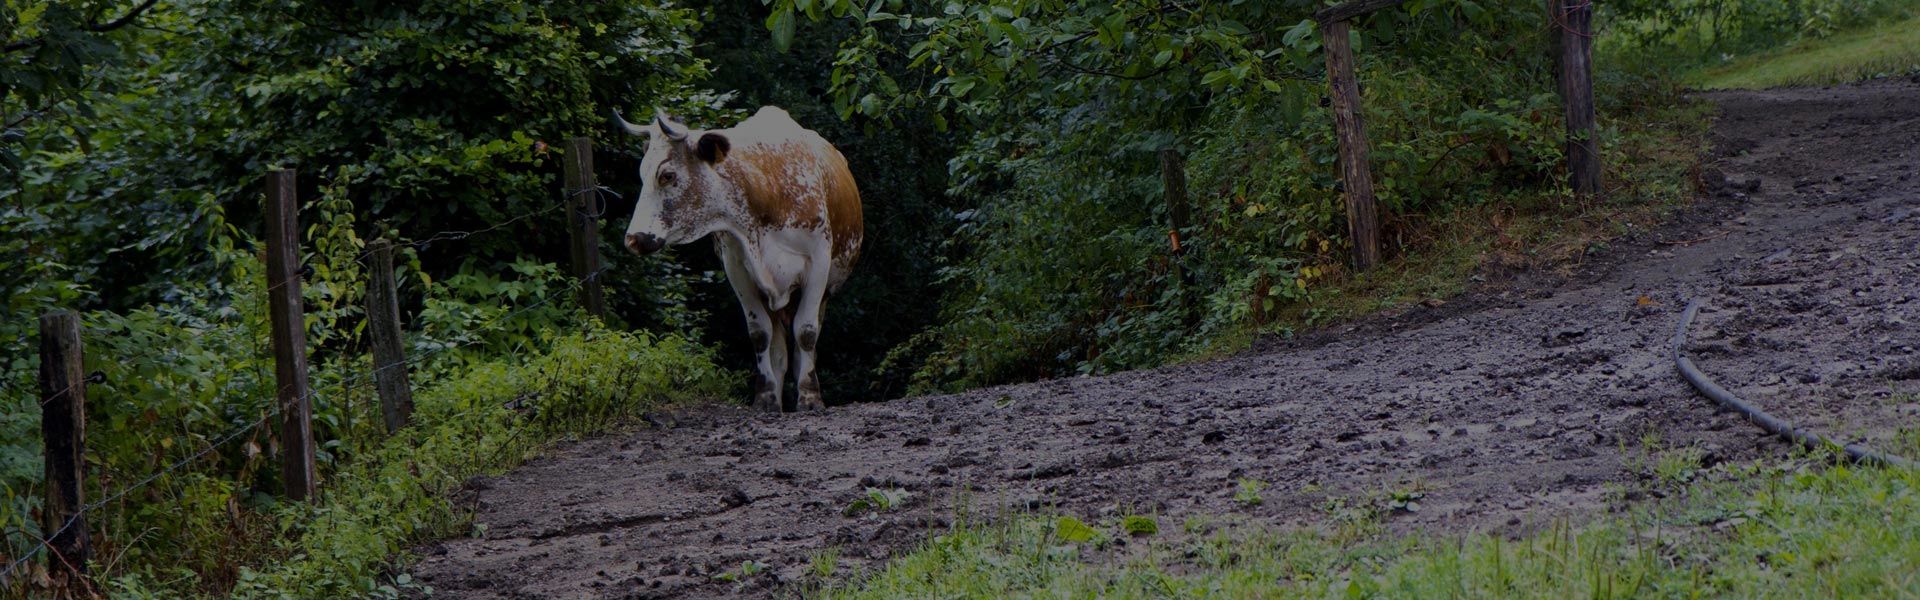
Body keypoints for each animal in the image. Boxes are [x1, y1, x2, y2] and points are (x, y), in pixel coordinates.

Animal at [614, 106, 864, 411]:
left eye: (667, 175)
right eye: (642, 173)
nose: (633, 239)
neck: (765, 191)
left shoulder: (818, 264)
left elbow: (806, 332)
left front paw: (810, 398)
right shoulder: (737, 269)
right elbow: (760, 334)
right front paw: (765, 397)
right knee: (778, 350)